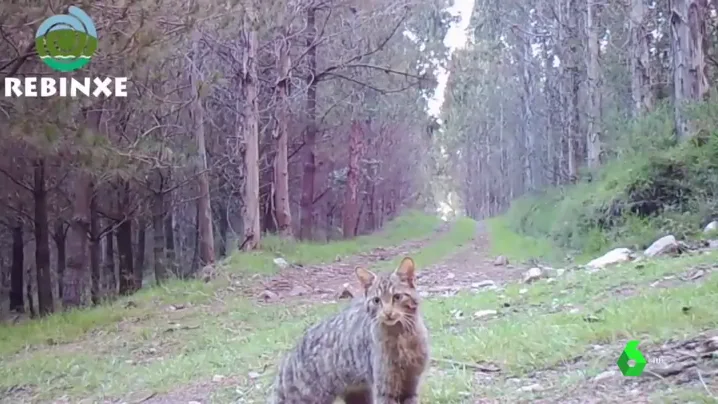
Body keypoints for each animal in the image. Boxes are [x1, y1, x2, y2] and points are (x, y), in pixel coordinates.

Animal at [268, 258, 428, 402]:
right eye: (376, 300)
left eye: (397, 297)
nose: (388, 312)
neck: (402, 337)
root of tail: (289, 356)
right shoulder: (385, 388)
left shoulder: (411, 385)